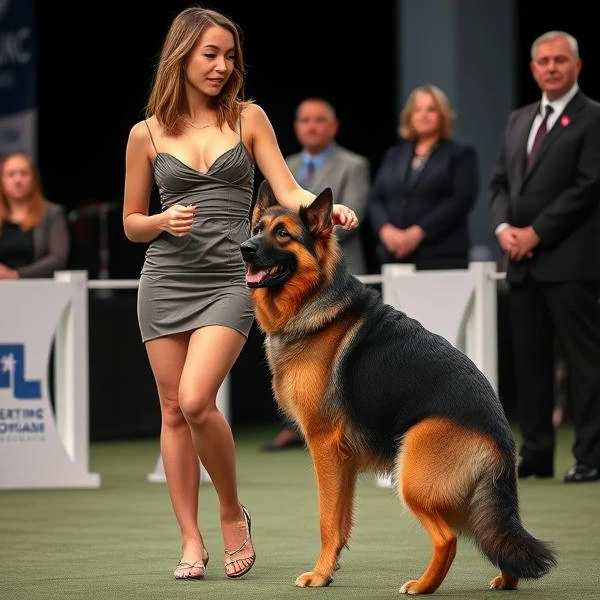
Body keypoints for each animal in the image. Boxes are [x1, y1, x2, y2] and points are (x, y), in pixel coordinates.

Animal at [240, 184, 556, 596]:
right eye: (257, 229)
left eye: (282, 234)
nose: (244, 248)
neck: (314, 298)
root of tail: (502, 436)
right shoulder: (343, 462)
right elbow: (340, 523)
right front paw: (330, 570)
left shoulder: (325, 448)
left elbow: (327, 520)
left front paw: (319, 575)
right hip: (466, 502)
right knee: (497, 539)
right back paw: (505, 580)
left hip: (412, 480)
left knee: (447, 539)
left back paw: (422, 585)